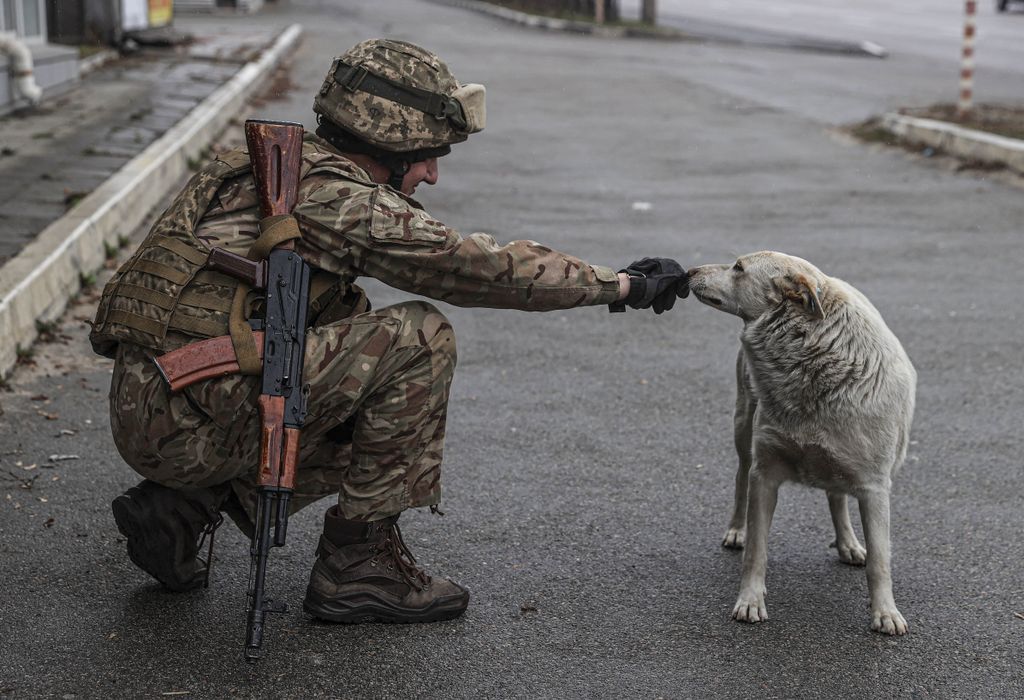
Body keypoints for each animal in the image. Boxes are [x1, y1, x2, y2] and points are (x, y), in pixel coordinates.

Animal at [688, 251, 921, 634]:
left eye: (738, 268)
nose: (689, 271)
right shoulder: (764, 474)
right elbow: (757, 550)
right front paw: (750, 601)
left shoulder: (874, 487)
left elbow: (880, 560)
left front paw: (885, 613)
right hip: (742, 426)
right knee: (740, 477)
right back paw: (736, 529)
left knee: (836, 496)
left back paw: (848, 544)